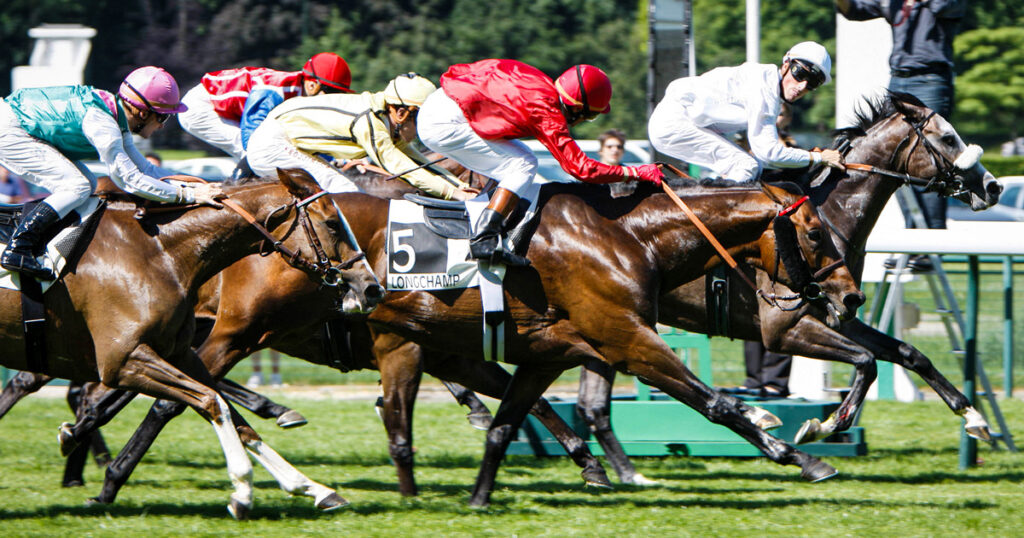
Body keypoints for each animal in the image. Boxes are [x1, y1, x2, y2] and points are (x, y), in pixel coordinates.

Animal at [0, 172, 384, 518]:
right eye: (332, 223)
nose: (372, 288)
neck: (160, 252)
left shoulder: (179, 353)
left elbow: (230, 414)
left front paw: (311, 488)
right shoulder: (122, 360)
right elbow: (212, 402)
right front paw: (242, 490)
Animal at [563, 92, 1002, 484]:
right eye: (948, 138)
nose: (993, 186)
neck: (829, 217)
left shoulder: (839, 313)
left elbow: (910, 354)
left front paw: (974, 418)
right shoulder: (783, 328)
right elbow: (866, 361)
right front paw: (822, 426)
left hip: (606, 326)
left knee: (593, 406)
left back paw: (627, 473)